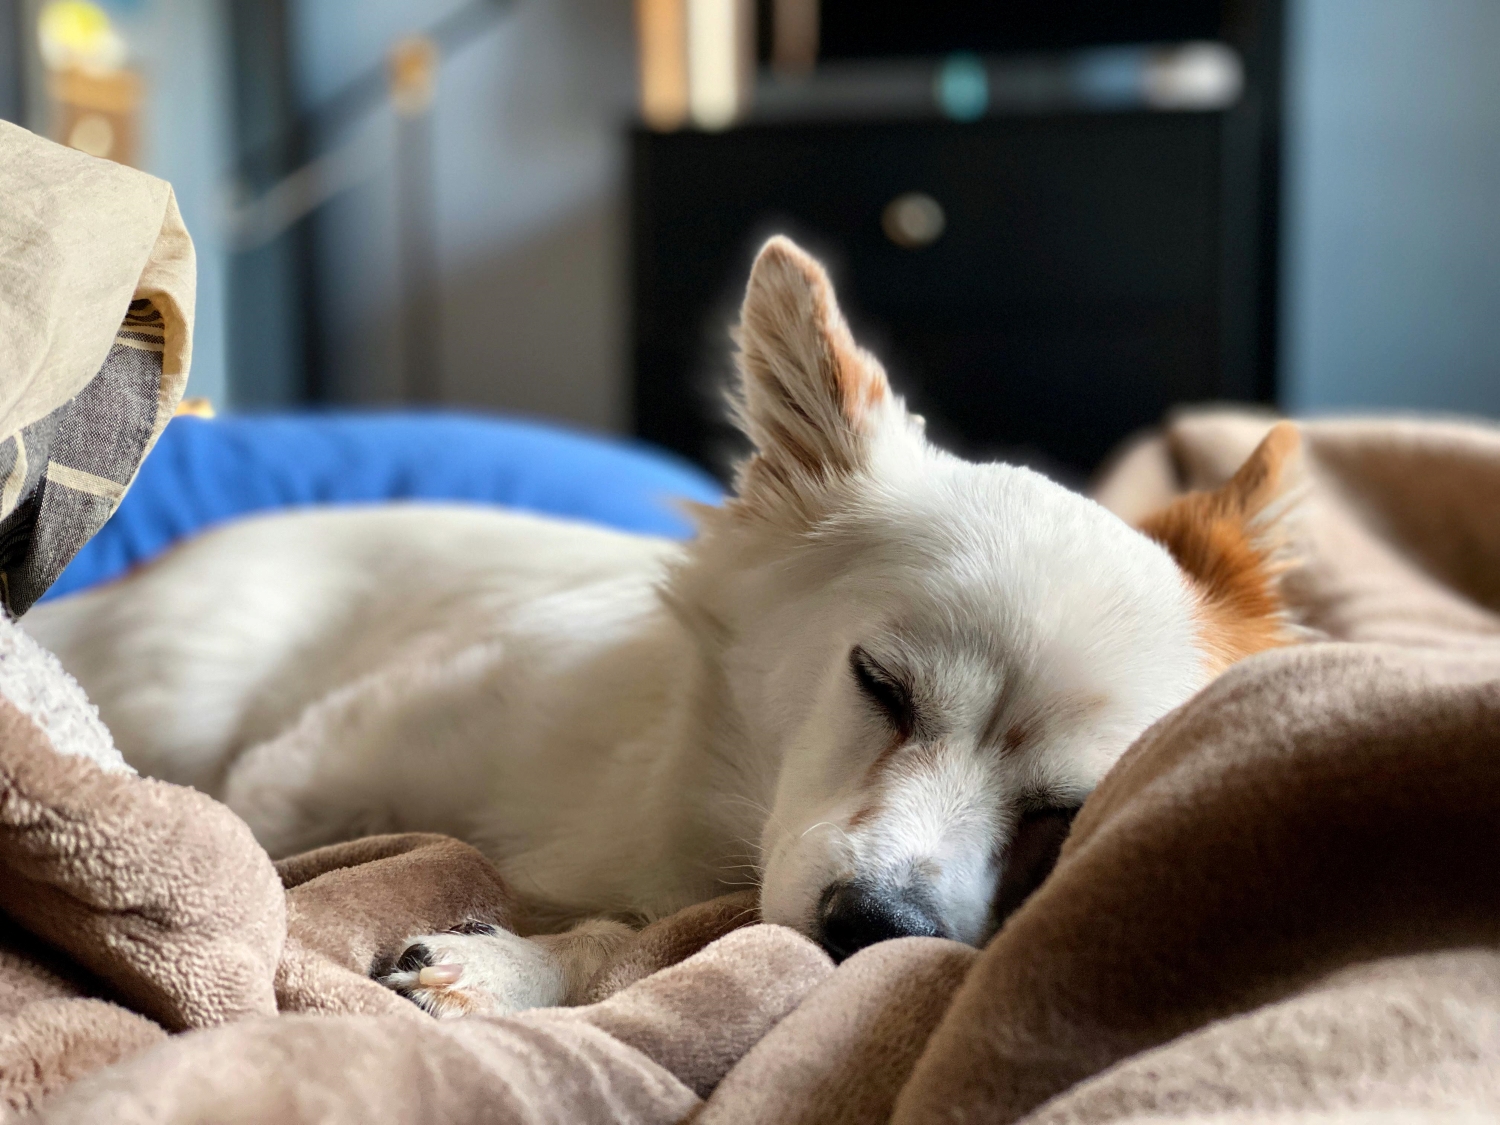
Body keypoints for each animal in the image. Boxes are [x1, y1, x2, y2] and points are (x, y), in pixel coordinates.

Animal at [29, 234, 1308, 1020]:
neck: (697, 822)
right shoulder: (312, 764)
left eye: (1065, 815)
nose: (878, 925)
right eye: (879, 684)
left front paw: (511, 966)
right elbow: (256, 857)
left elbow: (662, 945)